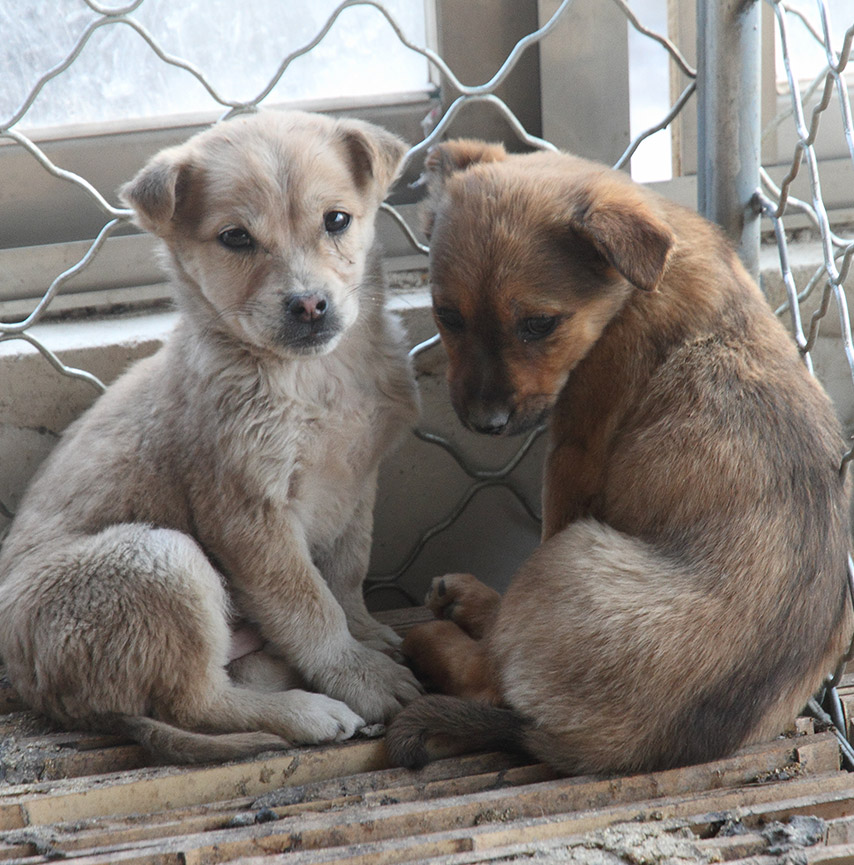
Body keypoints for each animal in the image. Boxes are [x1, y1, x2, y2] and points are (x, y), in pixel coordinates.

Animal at [0, 109, 422, 764]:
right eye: (236, 239)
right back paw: (306, 712)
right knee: (195, 702)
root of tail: (43, 694)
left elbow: (347, 575)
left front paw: (368, 631)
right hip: (158, 558)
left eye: (337, 221)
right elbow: (310, 606)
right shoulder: (248, 513)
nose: (309, 305)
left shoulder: (357, 483)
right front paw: (362, 676)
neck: (314, 380)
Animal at [388, 138, 854, 772]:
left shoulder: (574, 448)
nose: (486, 425)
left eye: (539, 324)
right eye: (447, 316)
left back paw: (445, 632)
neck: (640, 283)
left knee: (491, 673)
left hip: (566, 556)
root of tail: (618, 747)